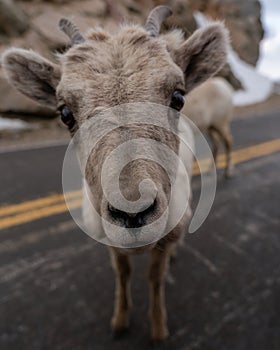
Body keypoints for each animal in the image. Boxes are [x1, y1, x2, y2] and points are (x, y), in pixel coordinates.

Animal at [2, 6, 229, 342]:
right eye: (65, 113)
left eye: (178, 97)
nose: (133, 211)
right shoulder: (110, 242)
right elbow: (123, 275)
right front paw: (120, 321)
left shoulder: (165, 238)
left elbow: (155, 278)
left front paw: (158, 329)